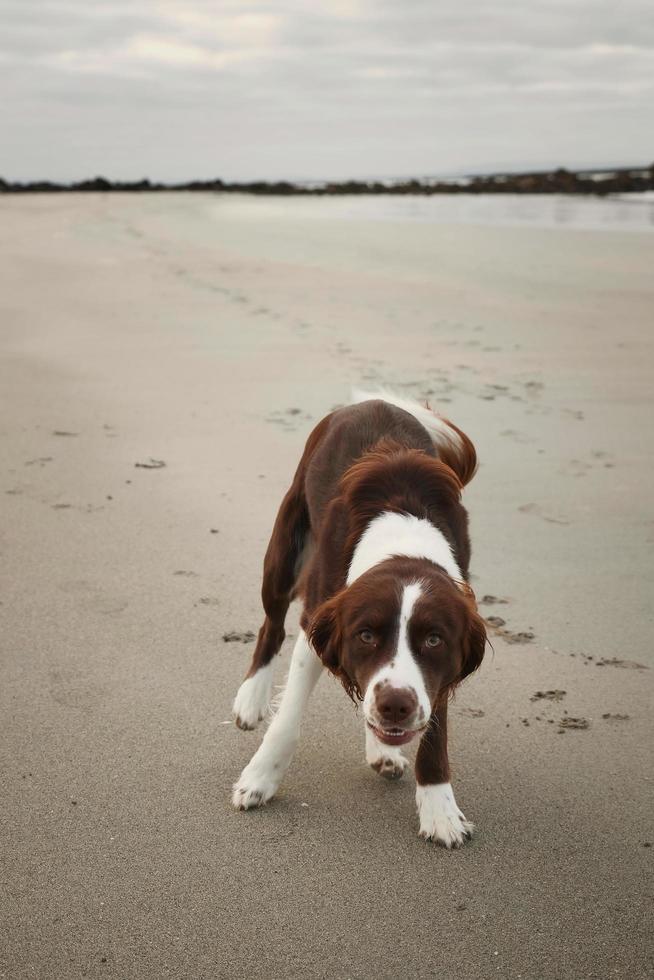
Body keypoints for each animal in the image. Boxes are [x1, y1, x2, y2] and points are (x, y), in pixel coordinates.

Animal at [231, 388, 486, 844]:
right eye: (366, 635)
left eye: (433, 639)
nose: (395, 706)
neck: (403, 541)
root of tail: (373, 401)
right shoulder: (316, 622)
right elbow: (288, 718)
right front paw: (259, 780)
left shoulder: (443, 662)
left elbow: (434, 732)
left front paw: (440, 810)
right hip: (286, 547)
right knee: (270, 625)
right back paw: (251, 698)